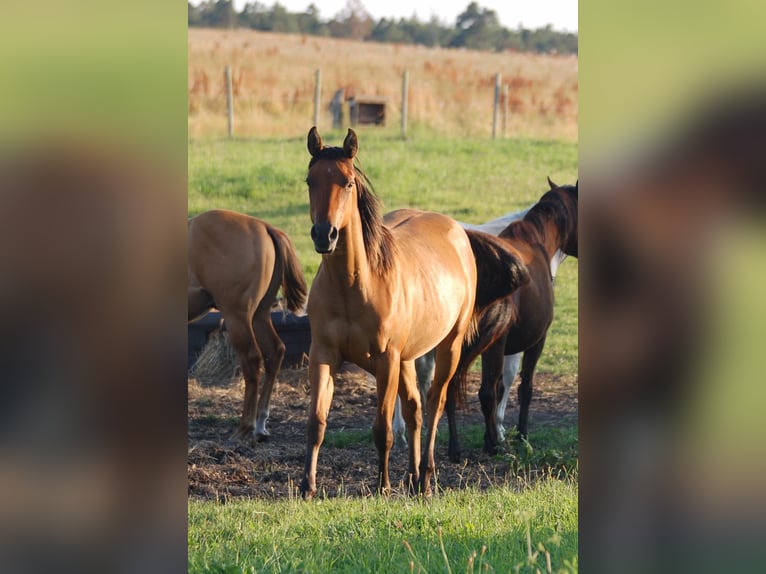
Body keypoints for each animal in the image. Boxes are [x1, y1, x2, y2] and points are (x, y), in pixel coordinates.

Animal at [188, 213, 308, 446]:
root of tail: (265, 226)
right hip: (259, 315)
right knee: (275, 351)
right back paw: (260, 424)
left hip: (237, 317)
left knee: (252, 360)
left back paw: (245, 427)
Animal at [298, 129, 528, 500]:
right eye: (310, 181)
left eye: (348, 183)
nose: (324, 234)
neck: (355, 285)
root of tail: (457, 230)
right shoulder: (323, 355)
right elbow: (316, 423)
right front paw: (307, 486)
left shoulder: (386, 360)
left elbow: (383, 428)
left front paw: (382, 485)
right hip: (408, 359)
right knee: (415, 410)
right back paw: (412, 477)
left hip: (447, 349)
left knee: (434, 404)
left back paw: (427, 479)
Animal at [448, 180, 580, 464]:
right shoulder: (536, 341)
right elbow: (524, 388)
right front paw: (519, 436)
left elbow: (500, 387)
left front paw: (491, 435)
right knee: (484, 392)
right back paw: (496, 447)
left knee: (448, 388)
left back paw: (455, 448)